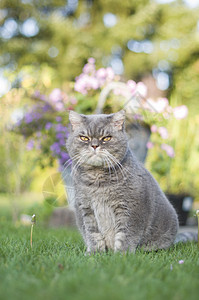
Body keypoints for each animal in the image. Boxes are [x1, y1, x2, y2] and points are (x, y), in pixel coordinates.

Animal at [66, 110, 196, 253]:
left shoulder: (130, 208)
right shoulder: (86, 208)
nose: (94, 145)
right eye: (84, 138)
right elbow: (92, 234)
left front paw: (121, 254)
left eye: (106, 138)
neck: (97, 179)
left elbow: (126, 234)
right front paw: (94, 253)